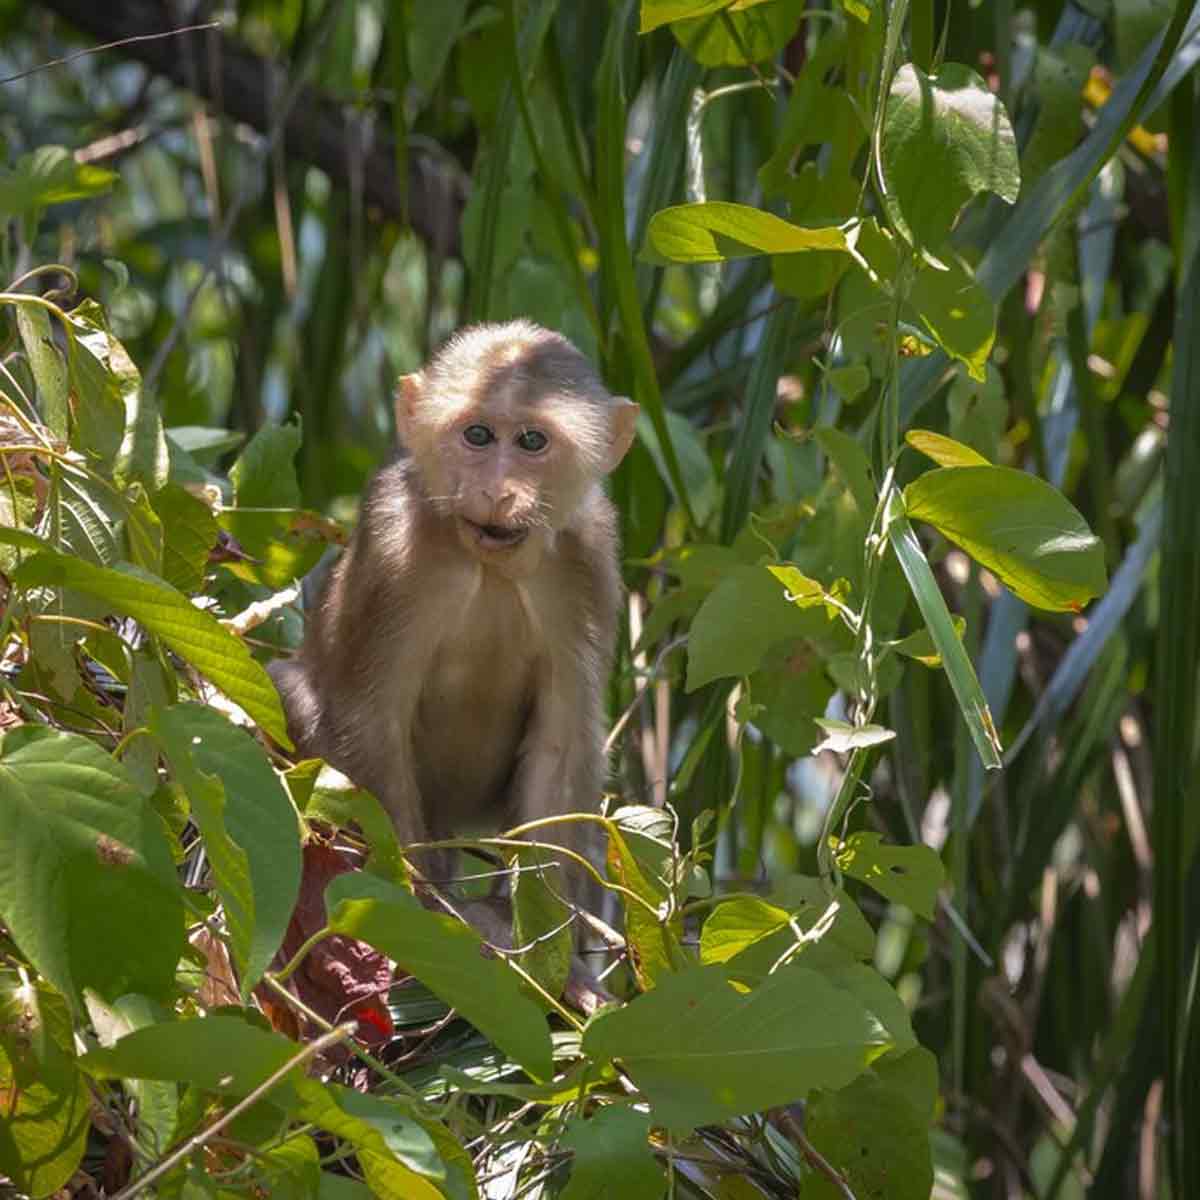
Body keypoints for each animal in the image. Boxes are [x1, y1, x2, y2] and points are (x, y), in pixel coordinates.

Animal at [270, 321, 638, 983]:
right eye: (477, 434)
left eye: (532, 441)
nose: (494, 491)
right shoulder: (392, 537)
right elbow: (370, 721)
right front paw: (417, 913)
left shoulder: (590, 554)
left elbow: (562, 742)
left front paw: (541, 947)